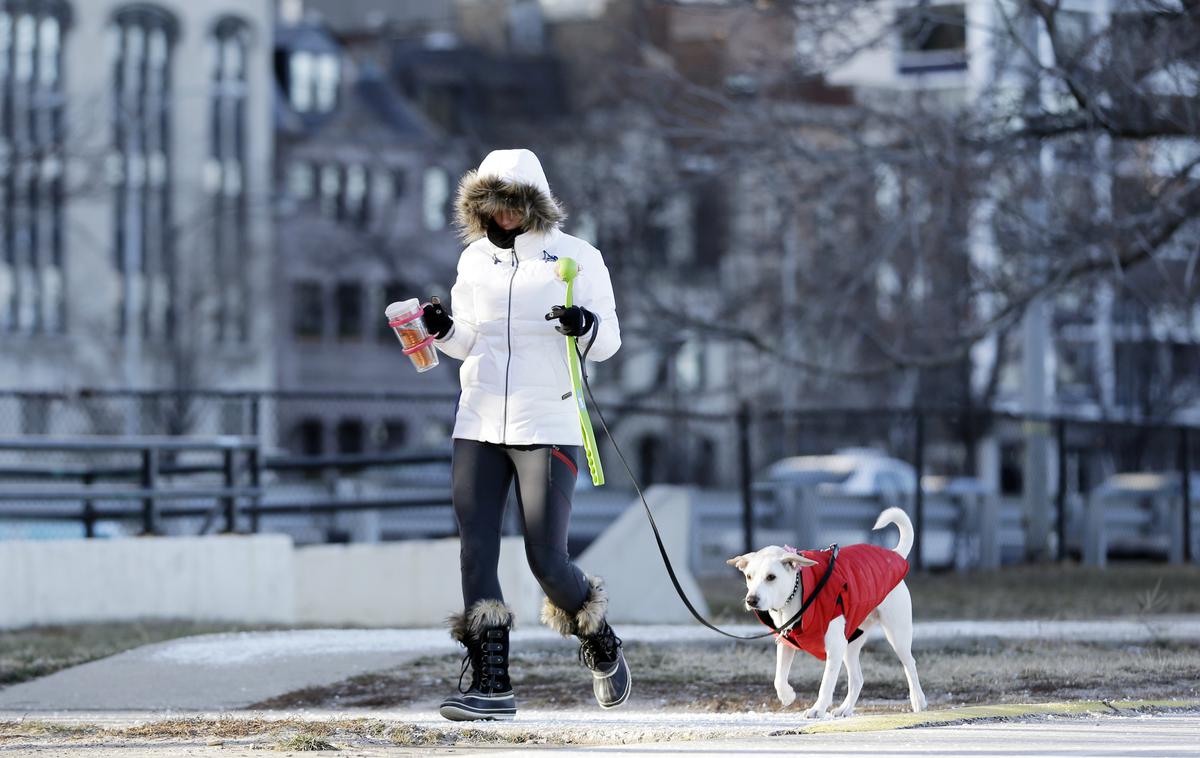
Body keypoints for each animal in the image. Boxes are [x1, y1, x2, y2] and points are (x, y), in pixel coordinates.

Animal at [720, 508, 926, 714]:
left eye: (771, 577)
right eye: (749, 576)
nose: (751, 600)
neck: (794, 597)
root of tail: (895, 555)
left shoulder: (834, 647)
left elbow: (826, 684)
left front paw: (817, 710)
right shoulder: (786, 643)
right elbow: (779, 678)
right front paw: (787, 696)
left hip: (896, 634)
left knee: (910, 664)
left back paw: (918, 700)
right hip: (851, 641)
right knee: (857, 678)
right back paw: (845, 709)